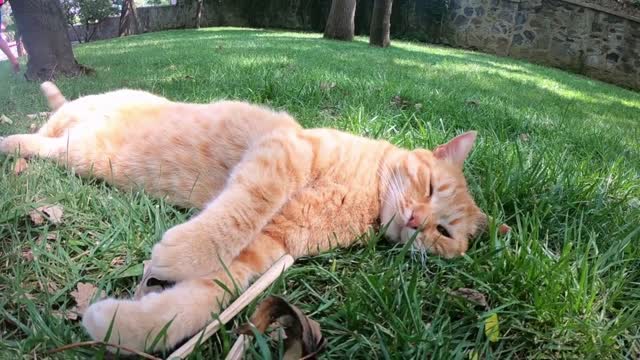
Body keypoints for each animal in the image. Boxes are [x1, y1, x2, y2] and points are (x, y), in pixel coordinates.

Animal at [2, 82, 502, 352]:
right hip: (68, 132)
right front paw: (182, 253)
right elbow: (245, 207)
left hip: (72, 151)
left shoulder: (269, 249)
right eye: (430, 187)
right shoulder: (284, 151)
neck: (365, 197)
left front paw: (123, 326)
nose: (417, 221)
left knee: (43, 143)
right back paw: (8, 142)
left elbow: (203, 299)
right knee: (33, 133)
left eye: (444, 231)